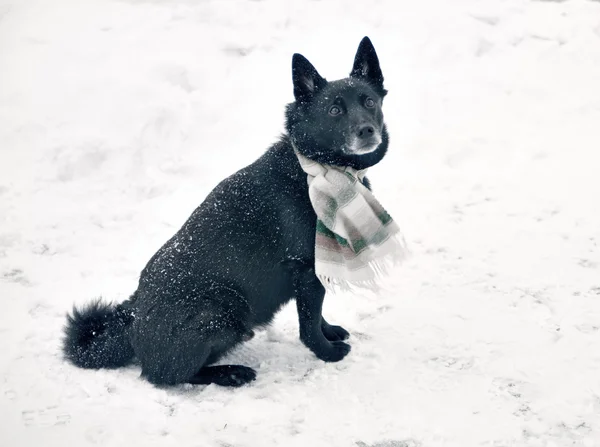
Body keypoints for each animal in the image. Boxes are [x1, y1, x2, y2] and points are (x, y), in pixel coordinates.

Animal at [64, 36, 390, 386]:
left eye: (369, 102)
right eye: (334, 110)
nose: (367, 131)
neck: (314, 168)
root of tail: (133, 323)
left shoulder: (313, 272)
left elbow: (315, 314)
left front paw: (330, 332)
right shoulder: (305, 268)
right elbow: (308, 323)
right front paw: (326, 352)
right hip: (224, 308)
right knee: (166, 376)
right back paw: (230, 373)